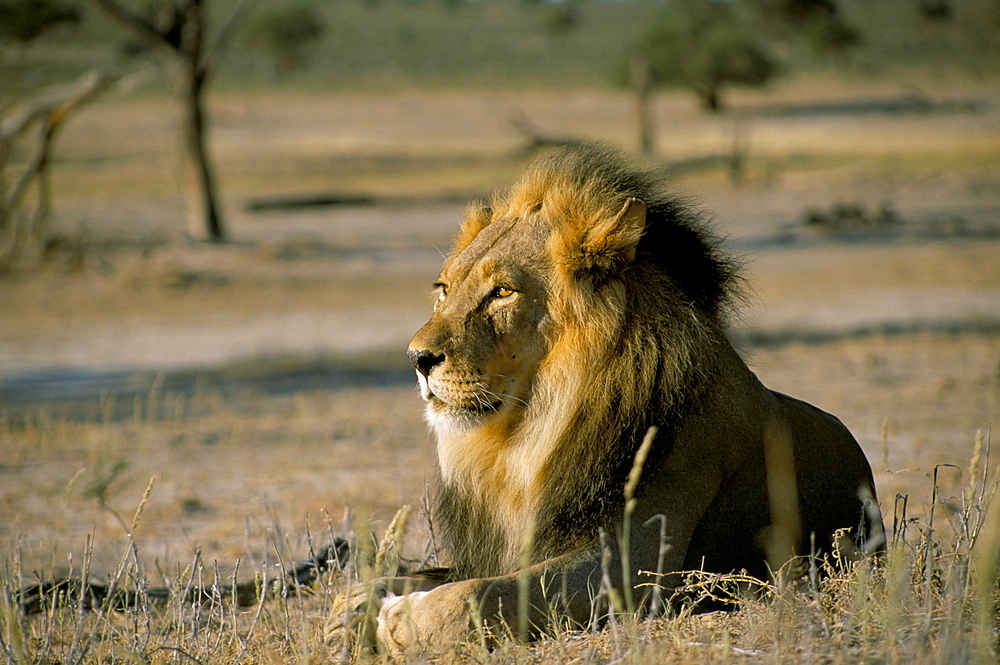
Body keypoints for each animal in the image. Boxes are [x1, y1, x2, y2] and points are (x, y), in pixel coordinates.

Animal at [372, 145, 880, 660]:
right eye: (444, 289)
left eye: (503, 292)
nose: (417, 358)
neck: (528, 437)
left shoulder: (639, 562)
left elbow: (479, 594)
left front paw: (401, 615)